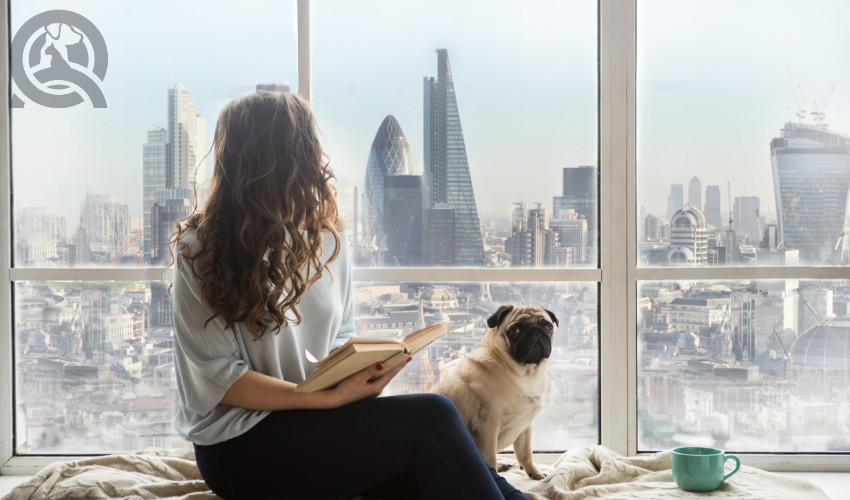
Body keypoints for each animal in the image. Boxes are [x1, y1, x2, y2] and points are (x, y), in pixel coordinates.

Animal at [430, 302, 556, 478]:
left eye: (548, 327)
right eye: (515, 331)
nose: (535, 331)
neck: (524, 373)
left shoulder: (524, 427)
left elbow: (525, 454)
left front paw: (534, 473)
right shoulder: (487, 429)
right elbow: (490, 460)